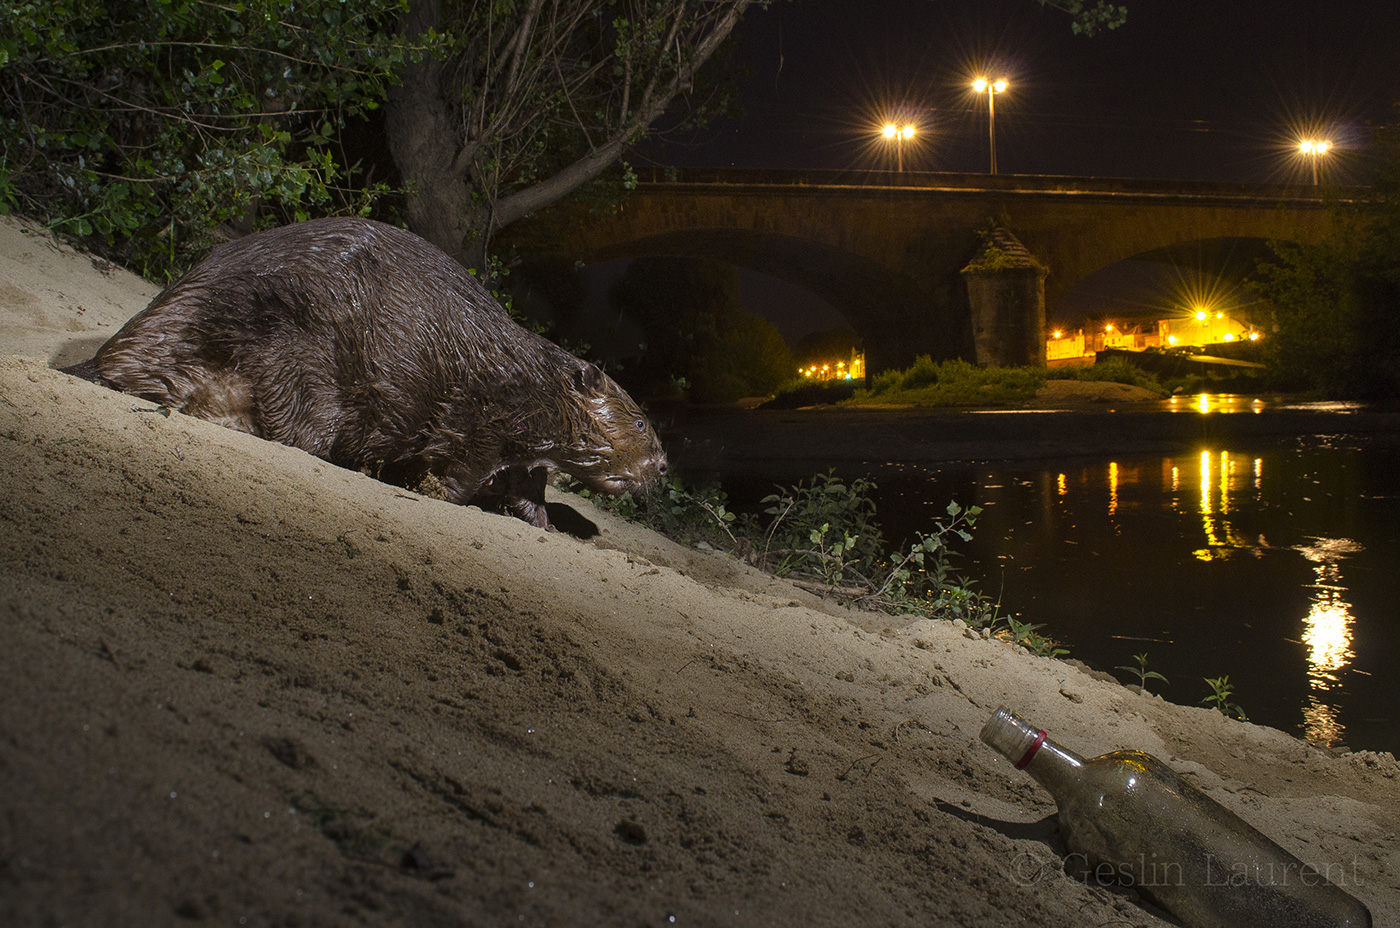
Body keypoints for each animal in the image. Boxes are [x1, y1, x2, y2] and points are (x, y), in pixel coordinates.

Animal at [68, 212, 669, 526]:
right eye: (641, 422)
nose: (663, 467)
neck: (531, 371)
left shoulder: (526, 446)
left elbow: (530, 482)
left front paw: (541, 521)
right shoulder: (490, 410)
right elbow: (468, 463)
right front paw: (440, 493)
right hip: (296, 348)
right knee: (293, 428)